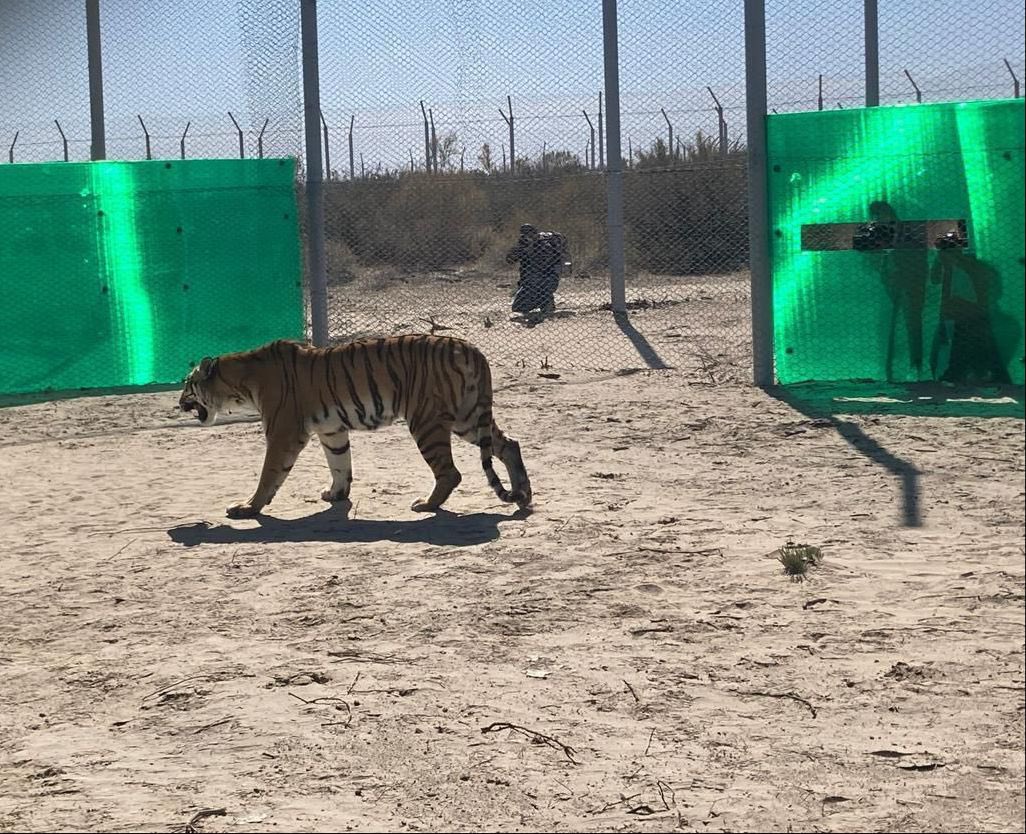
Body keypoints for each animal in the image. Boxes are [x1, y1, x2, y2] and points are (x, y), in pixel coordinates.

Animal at [178, 335, 532, 520]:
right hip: (468, 417)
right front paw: (336, 494)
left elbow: (269, 475)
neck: (241, 384)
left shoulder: (283, 433)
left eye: (187, 385)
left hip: (428, 422)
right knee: (509, 445)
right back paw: (524, 494)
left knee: (451, 472)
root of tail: (471, 348)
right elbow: (339, 463)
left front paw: (247, 507)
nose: (179, 403)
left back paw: (426, 505)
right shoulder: (331, 429)